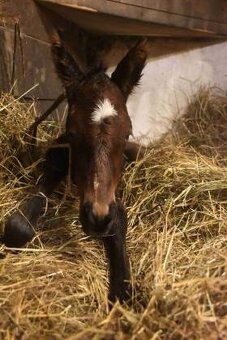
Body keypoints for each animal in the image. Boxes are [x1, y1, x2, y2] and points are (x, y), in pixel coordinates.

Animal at [3, 36, 149, 302]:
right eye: (72, 133)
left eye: (127, 134)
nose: (98, 217)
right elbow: (18, 227)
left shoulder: (113, 197)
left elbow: (119, 219)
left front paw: (121, 289)